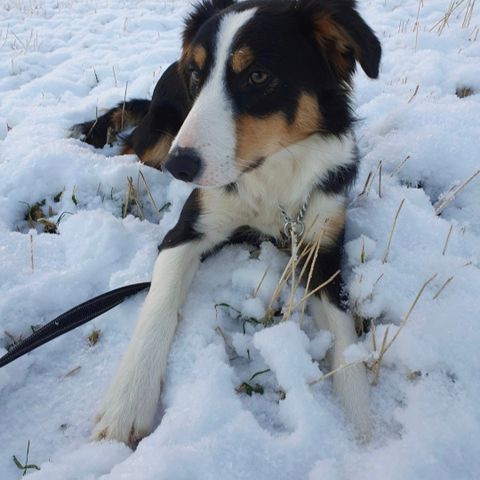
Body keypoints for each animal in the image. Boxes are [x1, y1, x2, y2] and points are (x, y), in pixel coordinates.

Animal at [71, 0, 380, 446]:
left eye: (258, 75)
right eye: (197, 74)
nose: (180, 167)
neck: (271, 177)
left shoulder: (321, 244)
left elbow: (344, 341)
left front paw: (365, 429)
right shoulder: (186, 231)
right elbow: (159, 303)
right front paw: (128, 401)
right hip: (158, 134)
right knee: (131, 146)